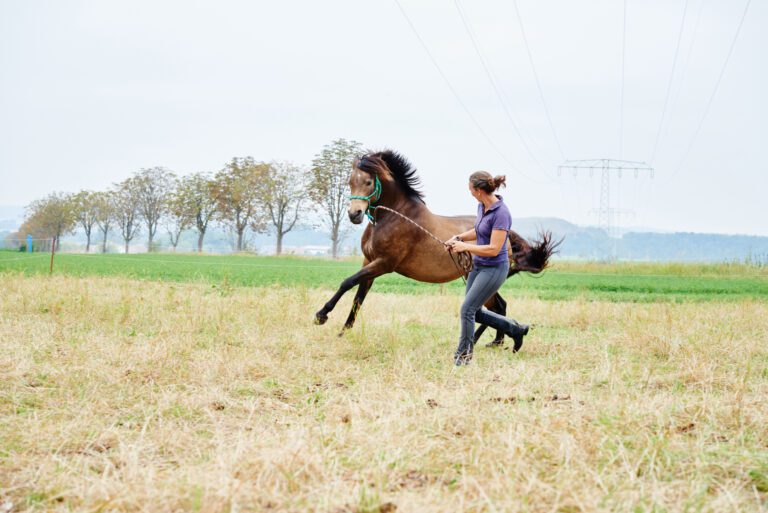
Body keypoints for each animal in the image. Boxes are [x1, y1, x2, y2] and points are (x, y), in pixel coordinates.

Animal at [312, 150, 560, 346]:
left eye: (368, 182)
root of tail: (508, 240)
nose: (354, 214)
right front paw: (343, 332)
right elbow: (358, 298)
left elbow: (347, 282)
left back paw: (489, 340)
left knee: (495, 307)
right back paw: (493, 341)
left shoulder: (384, 264)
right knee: (496, 307)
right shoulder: (369, 262)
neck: (394, 217)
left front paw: (321, 315)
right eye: (350, 181)